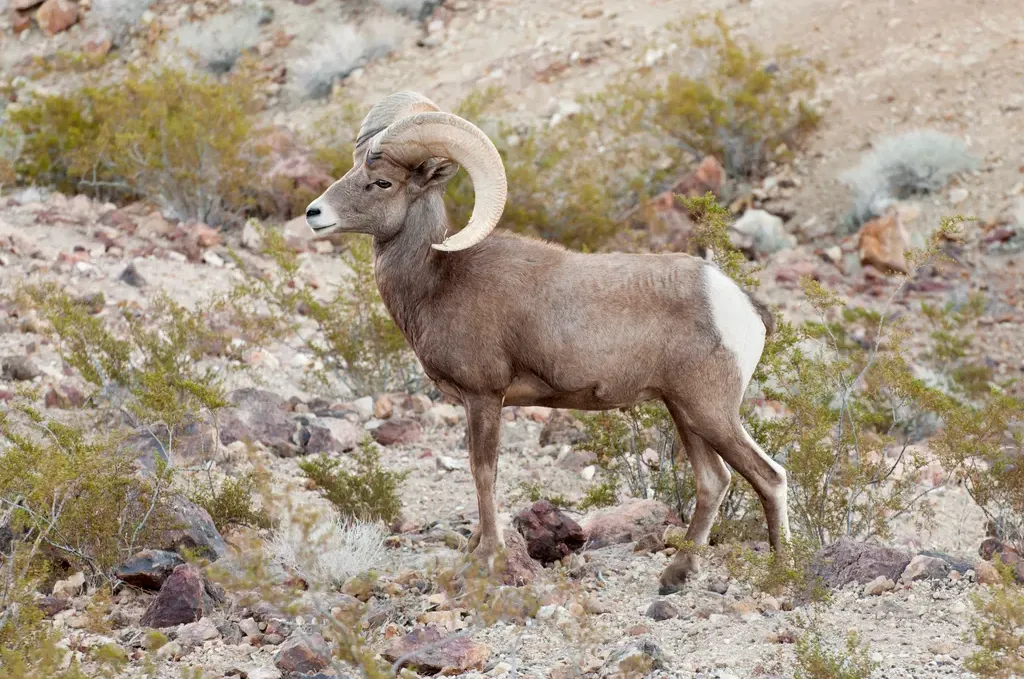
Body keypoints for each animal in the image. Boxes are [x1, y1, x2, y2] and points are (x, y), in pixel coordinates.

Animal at [304, 91, 790, 593]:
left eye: (381, 182)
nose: (314, 213)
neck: (438, 279)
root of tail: (741, 304)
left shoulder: (484, 396)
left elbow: (484, 472)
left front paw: (487, 558)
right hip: (684, 412)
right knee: (714, 481)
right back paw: (675, 576)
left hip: (710, 411)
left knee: (770, 477)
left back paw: (780, 571)